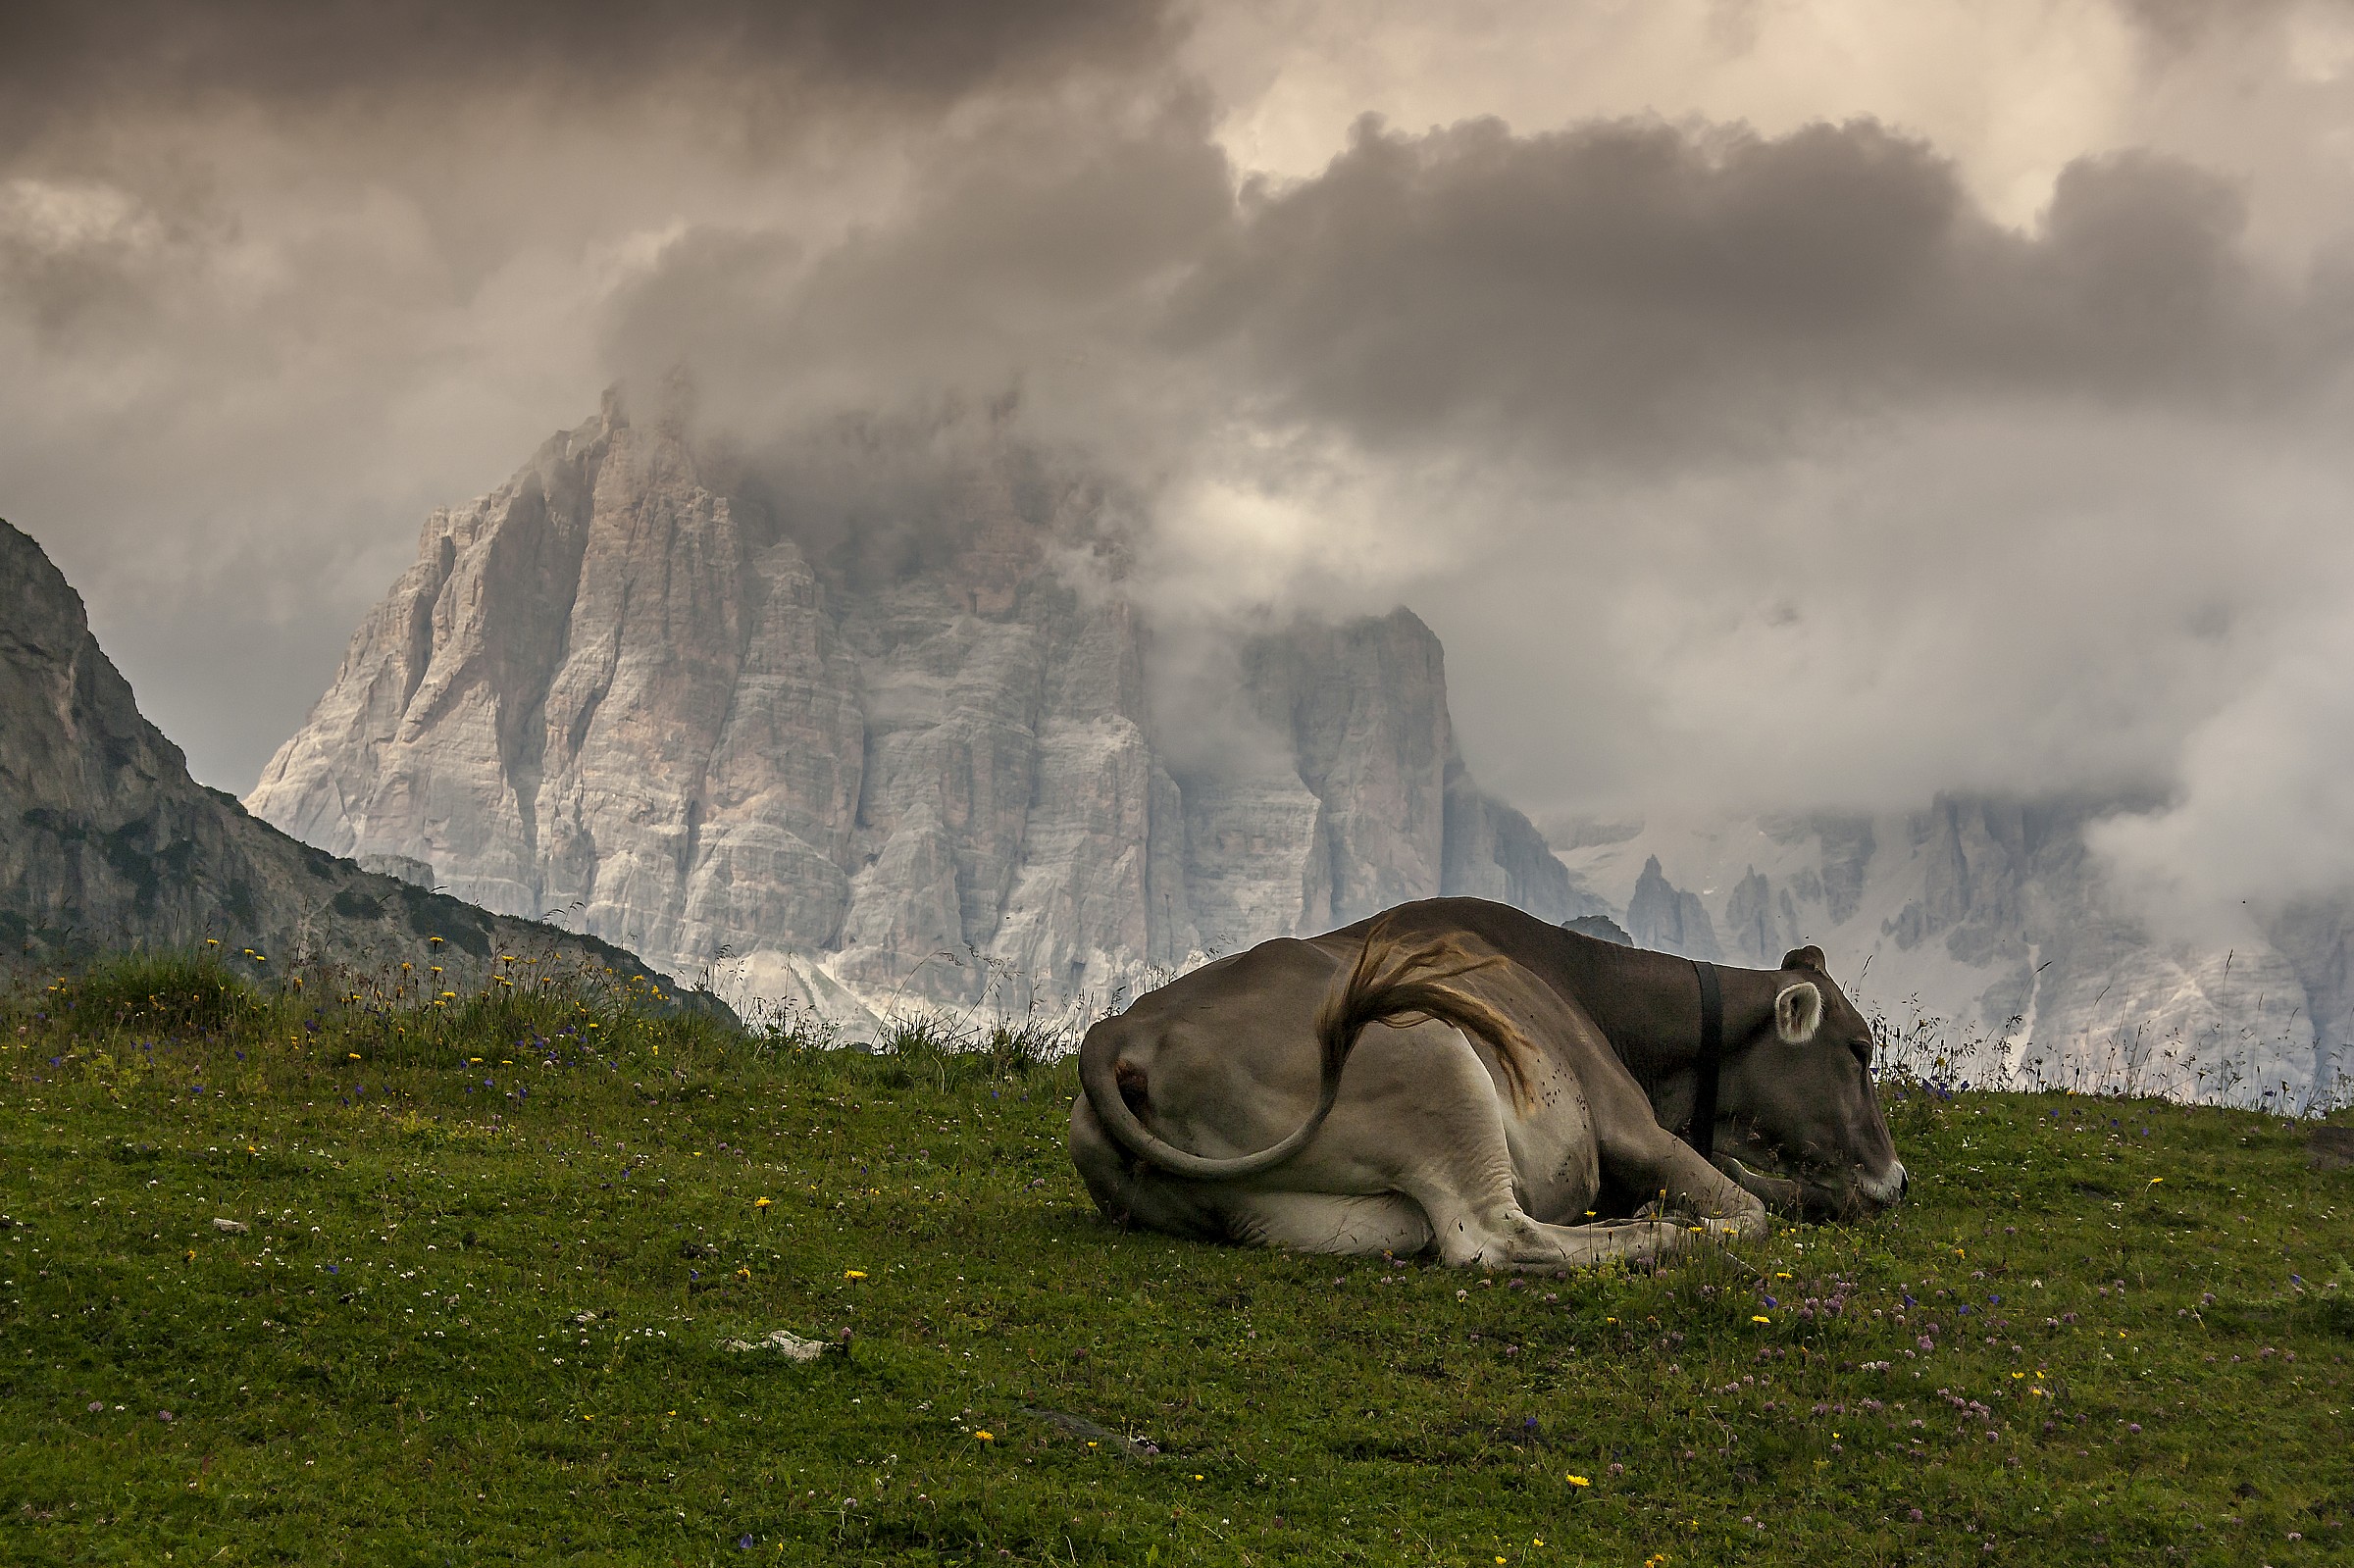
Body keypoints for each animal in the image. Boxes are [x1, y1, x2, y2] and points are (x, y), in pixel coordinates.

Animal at [1069, 897, 1905, 1269]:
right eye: (1859, 1048)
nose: (1898, 1178)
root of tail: (1119, 1032)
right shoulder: (1627, 1122)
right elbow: (1749, 1209)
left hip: (1319, 1216)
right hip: (1435, 1056)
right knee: (1493, 1237)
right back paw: (1658, 1232)